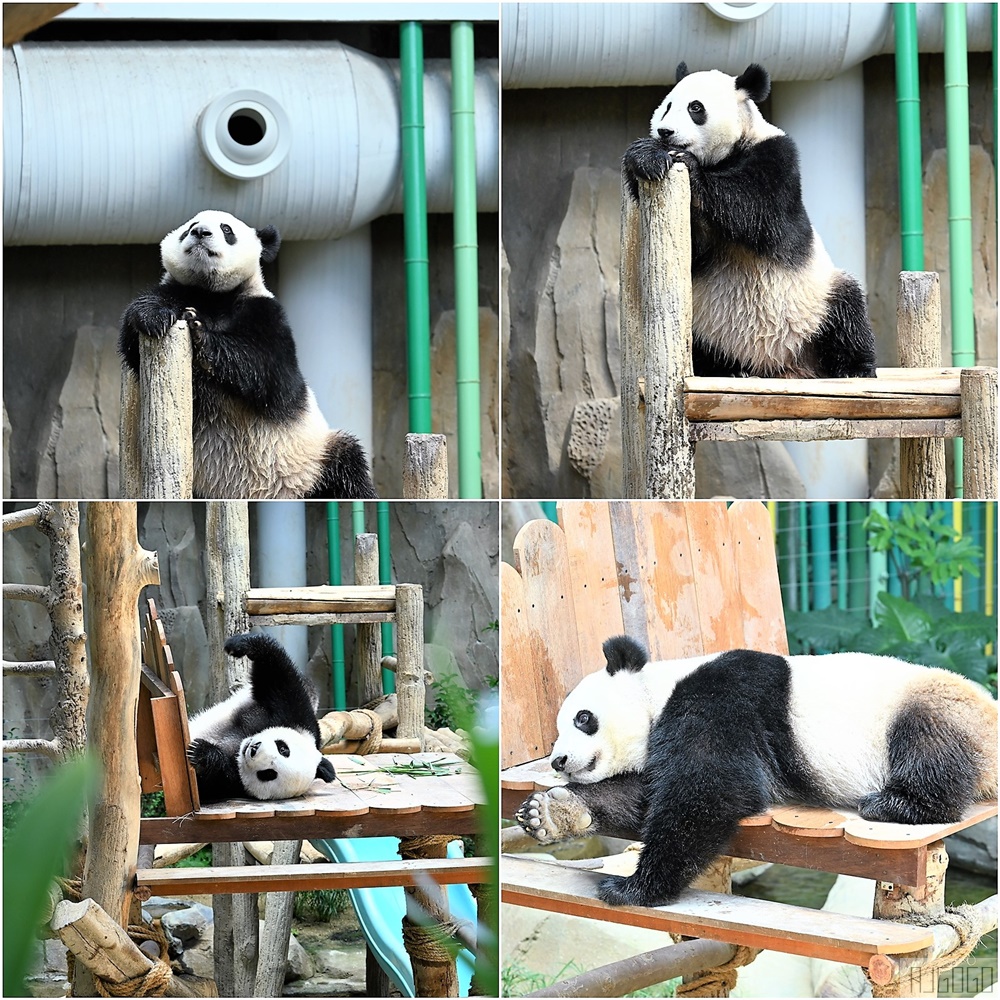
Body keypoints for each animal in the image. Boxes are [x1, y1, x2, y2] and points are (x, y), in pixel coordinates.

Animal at [119, 215, 376, 504]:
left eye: (226, 229)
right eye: (190, 226)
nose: (200, 232)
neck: (212, 296)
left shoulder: (265, 312)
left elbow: (270, 374)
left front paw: (201, 334)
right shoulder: (179, 291)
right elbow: (135, 332)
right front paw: (154, 316)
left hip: (314, 461)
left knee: (348, 467)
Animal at [183, 632, 332, 804]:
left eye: (268, 774)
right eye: (283, 748)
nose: (254, 748)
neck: (239, 746)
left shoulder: (233, 785)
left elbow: (208, 783)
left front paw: (202, 754)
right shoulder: (297, 717)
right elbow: (279, 677)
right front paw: (241, 644)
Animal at [520, 636, 996, 912]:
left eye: (583, 718)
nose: (559, 761)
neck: (659, 690)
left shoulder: (722, 699)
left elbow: (710, 789)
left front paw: (633, 889)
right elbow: (647, 793)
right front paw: (552, 813)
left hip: (938, 710)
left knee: (929, 746)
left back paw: (895, 804)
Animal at [620, 64, 880, 380]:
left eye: (696, 108)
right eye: (667, 106)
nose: (665, 131)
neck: (723, 156)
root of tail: (781, 365)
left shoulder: (778, 157)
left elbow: (756, 208)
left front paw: (688, 166)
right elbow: (692, 248)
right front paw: (646, 157)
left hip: (818, 297)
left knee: (848, 310)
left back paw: (855, 369)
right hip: (706, 326)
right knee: (702, 346)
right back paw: (728, 370)